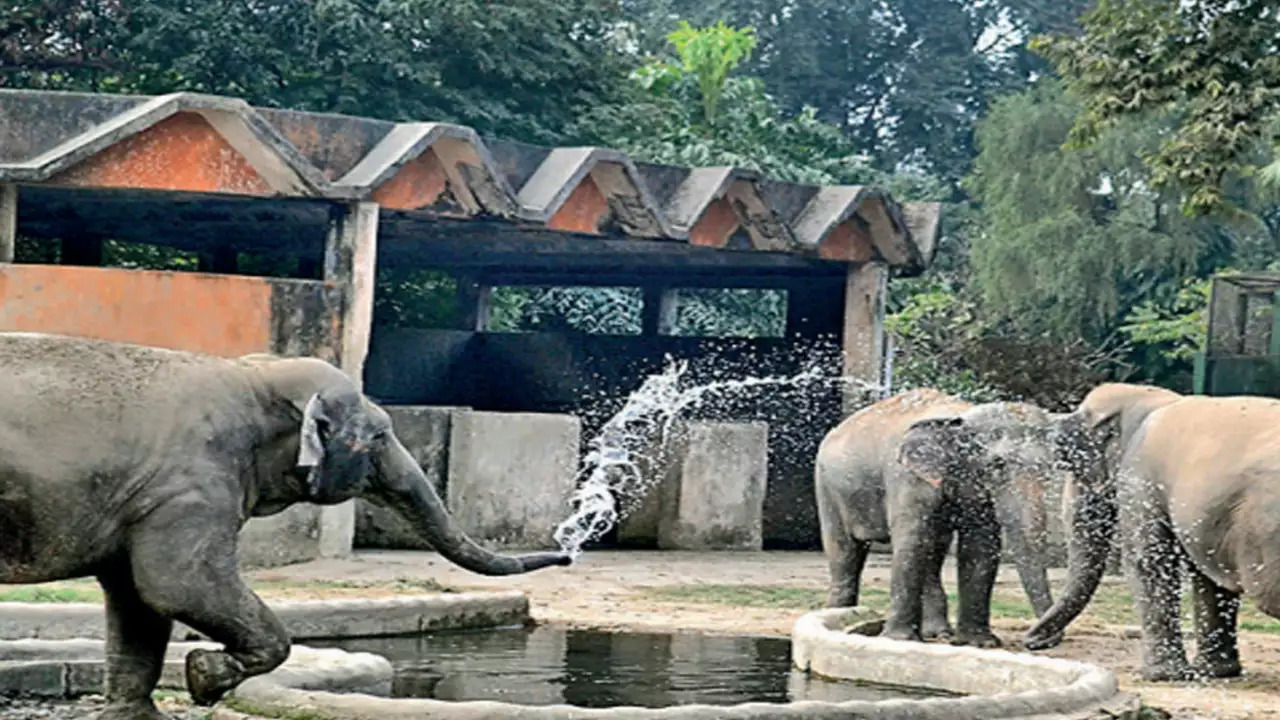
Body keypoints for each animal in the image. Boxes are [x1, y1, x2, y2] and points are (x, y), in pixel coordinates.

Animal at [0, 333, 570, 717]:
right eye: (381, 436)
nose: (568, 551)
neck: (254, 378)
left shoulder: (147, 501)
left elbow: (138, 601)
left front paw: (143, 713)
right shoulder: (191, 488)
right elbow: (178, 584)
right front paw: (205, 677)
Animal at [819, 389, 1059, 648]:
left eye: (1048, 468)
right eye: (997, 465)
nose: (1034, 641)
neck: (959, 418)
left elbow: (980, 547)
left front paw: (980, 643)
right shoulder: (906, 477)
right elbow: (911, 540)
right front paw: (899, 640)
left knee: (933, 552)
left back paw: (938, 633)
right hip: (828, 488)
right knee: (844, 551)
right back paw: (838, 615)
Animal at [1018, 381, 1280, 676]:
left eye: (1069, 460)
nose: (1032, 641)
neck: (1152, 398)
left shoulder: (1139, 480)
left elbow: (1148, 560)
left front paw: (1160, 675)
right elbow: (1206, 576)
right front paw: (1214, 672)